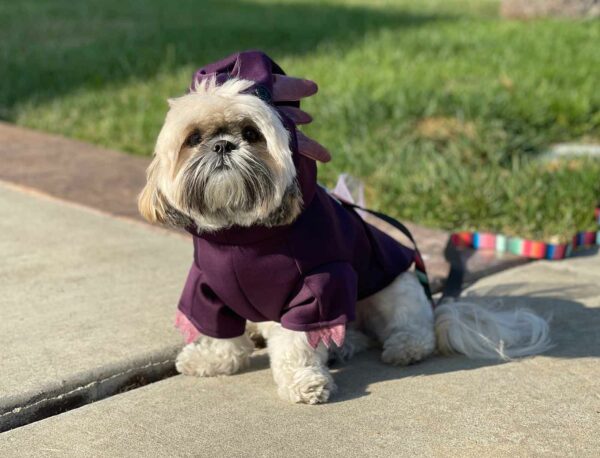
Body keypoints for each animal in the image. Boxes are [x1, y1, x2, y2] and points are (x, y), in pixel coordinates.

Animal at [138, 51, 552, 404]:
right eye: (194, 138)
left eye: (252, 134)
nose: (223, 145)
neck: (243, 236)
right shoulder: (208, 287)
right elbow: (218, 329)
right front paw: (213, 359)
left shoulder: (318, 286)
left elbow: (298, 343)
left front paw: (303, 381)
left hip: (393, 289)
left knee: (410, 328)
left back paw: (397, 345)